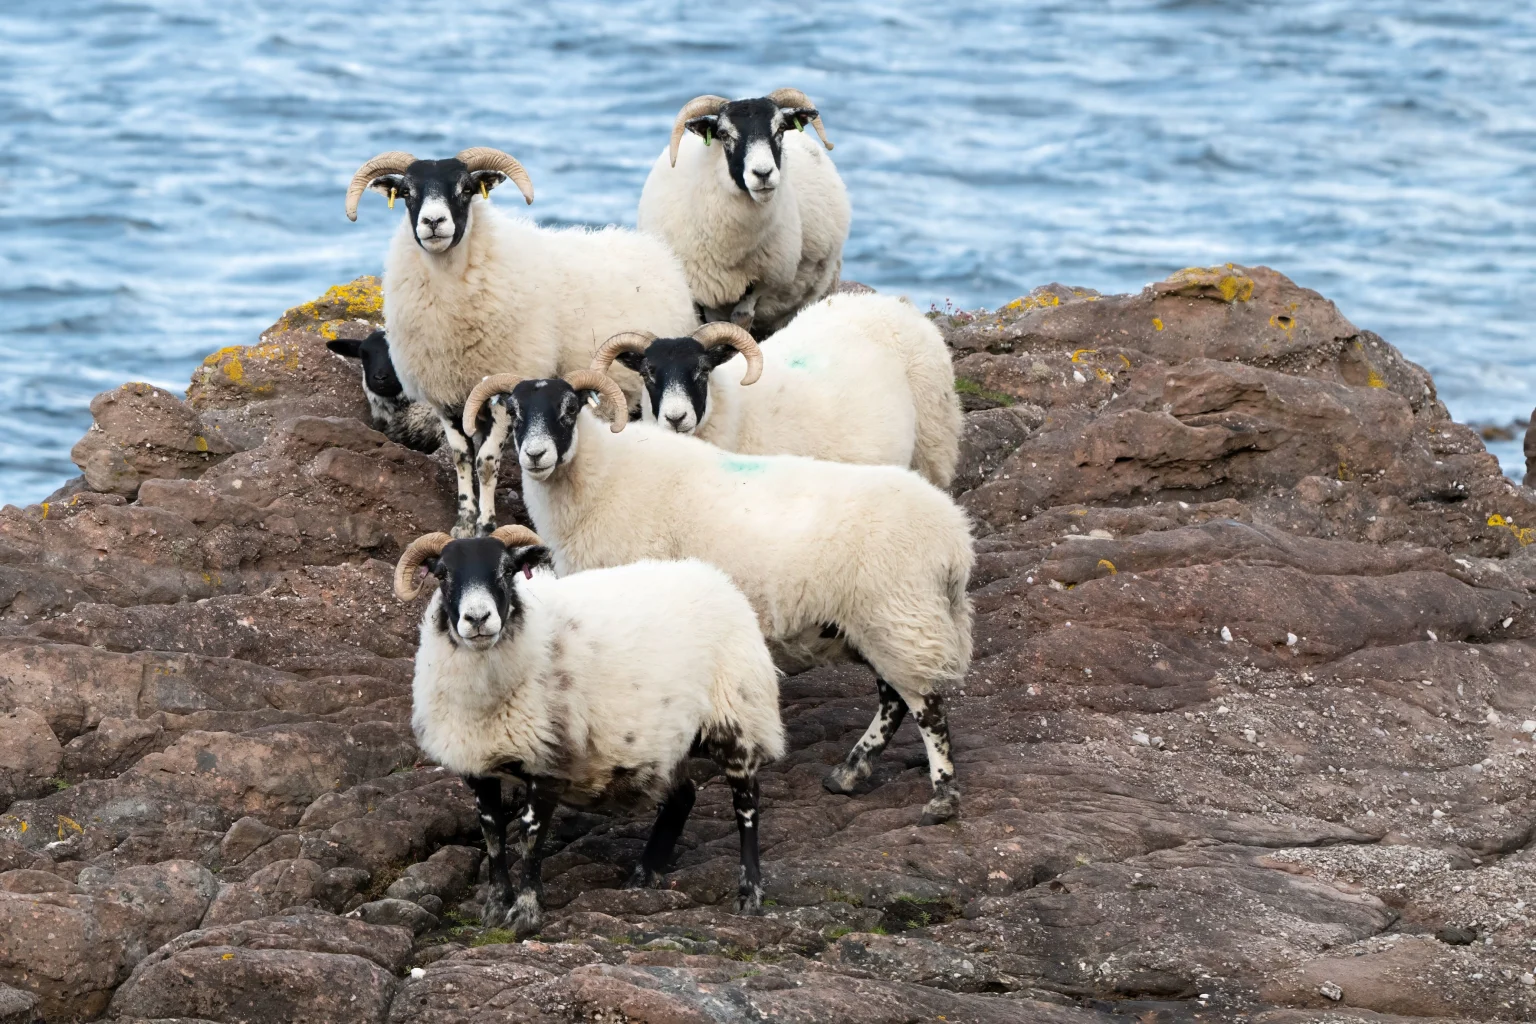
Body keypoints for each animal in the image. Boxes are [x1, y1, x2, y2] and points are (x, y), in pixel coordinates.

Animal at [345, 147, 697, 537]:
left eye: (465, 189)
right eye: (407, 192)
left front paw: (486, 524)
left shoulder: (503, 387)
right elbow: (461, 457)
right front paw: (463, 521)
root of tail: (655, 249)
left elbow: (486, 461)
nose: (433, 221)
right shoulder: (445, 395)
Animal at [395, 523, 784, 936]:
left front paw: (526, 913)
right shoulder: (478, 764)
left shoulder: (549, 761)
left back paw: (749, 894)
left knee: (746, 806)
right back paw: (643, 877)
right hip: (667, 739)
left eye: (506, 571)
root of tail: (718, 579)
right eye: (442, 575)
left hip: (738, 715)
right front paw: (495, 908)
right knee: (683, 797)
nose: (478, 618)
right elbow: (493, 834)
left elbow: (529, 836)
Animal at [461, 371, 972, 825]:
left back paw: (941, 798)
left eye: (569, 410)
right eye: (515, 412)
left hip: (899, 615)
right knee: (895, 699)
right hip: (876, 623)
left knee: (925, 704)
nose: (535, 455)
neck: (603, 478)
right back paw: (849, 773)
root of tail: (956, 538)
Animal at [592, 293, 963, 488]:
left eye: (703, 371)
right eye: (648, 373)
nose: (675, 417)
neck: (735, 410)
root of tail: (890, 301)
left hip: (933, 444)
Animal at [637, 89, 851, 336]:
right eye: (723, 133)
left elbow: (741, 319)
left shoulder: (762, 279)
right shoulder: (698, 288)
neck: (727, 249)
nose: (763, 173)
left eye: (780, 128)